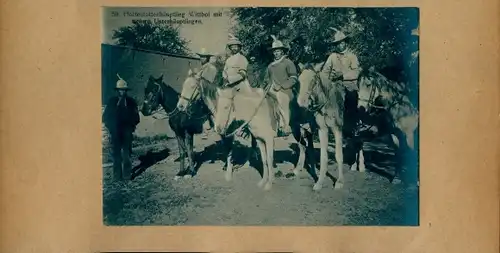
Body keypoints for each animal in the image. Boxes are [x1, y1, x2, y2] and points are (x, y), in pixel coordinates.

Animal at [294, 62, 346, 191]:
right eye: (299, 80)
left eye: (313, 80)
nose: (302, 102)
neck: (327, 104)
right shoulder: (322, 130)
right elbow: (323, 156)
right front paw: (319, 182)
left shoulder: (337, 129)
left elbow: (338, 154)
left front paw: (340, 181)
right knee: (305, 146)